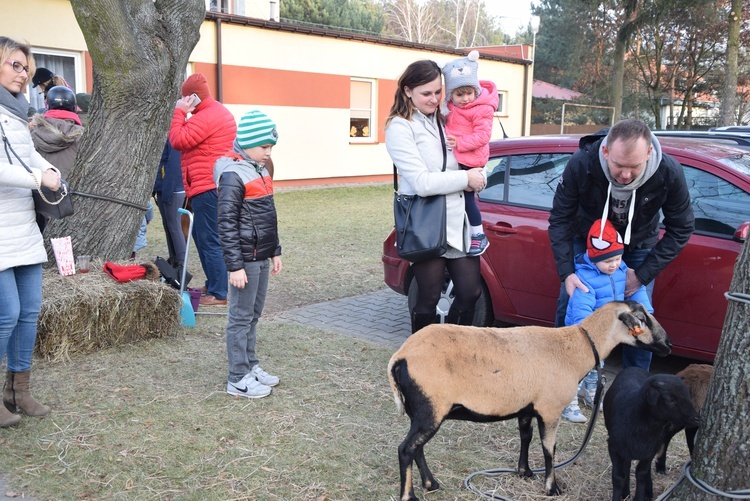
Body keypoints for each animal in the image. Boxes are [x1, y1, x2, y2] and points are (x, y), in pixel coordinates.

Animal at [388, 298, 676, 498]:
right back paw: (410, 495)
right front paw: (552, 488)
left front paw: (524, 472)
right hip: (431, 406)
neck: (576, 349)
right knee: (406, 449)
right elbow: (549, 449)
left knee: (417, 448)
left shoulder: (527, 408)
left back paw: (431, 484)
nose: (668, 345)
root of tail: (400, 358)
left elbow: (525, 437)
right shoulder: (550, 409)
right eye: (642, 318)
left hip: (421, 411)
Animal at [604, 366, 704, 498]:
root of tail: (633, 367)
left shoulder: (649, 450)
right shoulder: (614, 448)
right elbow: (618, 477)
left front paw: (640, 497)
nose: (697, 418)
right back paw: (626, 493)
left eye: (689, 396)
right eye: (670, 400)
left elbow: (642, 474)